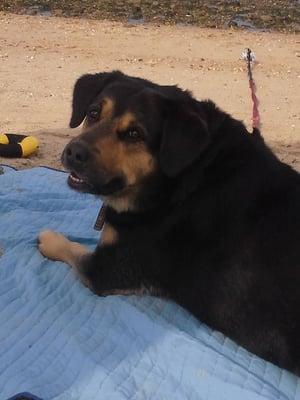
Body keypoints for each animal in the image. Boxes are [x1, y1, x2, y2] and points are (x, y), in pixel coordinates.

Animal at [38, 70, 300, 374]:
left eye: (134, 134)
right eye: (93, 113)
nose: (74, 152)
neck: (185, 175)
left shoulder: (109, 268)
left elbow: (73, 249)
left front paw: (49, 238)